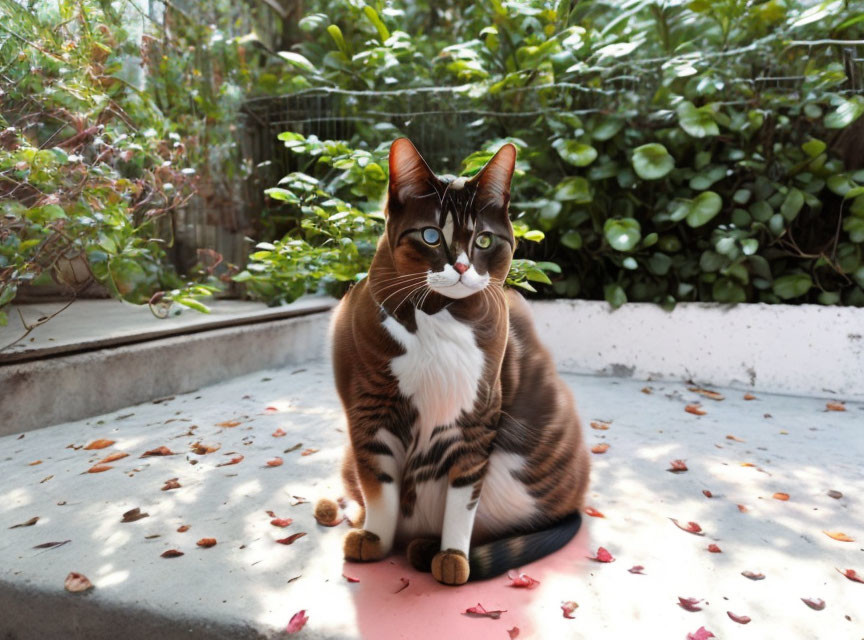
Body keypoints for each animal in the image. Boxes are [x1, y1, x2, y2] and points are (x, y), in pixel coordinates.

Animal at [314, 139, 592, 584]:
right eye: (431, 235)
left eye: (484, 240)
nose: (461, 266)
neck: (439, 312)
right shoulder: (368, 408)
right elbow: (378, 484)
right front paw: (374, 537)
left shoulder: (479, 415)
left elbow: (463, 499)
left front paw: (451, 555)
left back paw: (424, 547)